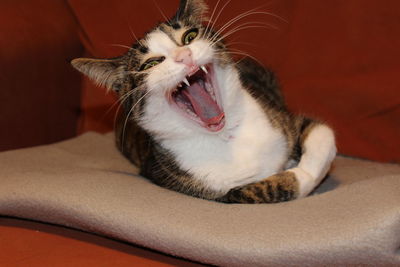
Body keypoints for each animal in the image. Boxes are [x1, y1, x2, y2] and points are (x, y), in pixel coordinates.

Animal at [70, 0, 336, 204]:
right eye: (151, 64)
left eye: (190, 36)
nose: (183, 55)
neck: (227, 136)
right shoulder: (198, 187)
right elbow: (256, 190)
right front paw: (299, 175)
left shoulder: (280, 116)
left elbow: (323, 135)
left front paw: (303, 166)